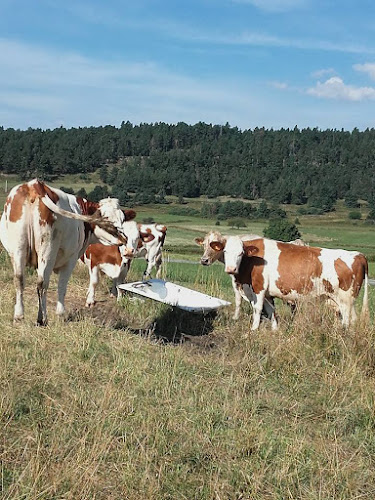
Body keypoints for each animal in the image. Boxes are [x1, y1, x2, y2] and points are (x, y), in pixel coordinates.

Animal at [0, 179, 135, 324]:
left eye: (122, 219)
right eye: (105, 218)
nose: (124, 239)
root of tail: (34, 184)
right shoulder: (71, 259)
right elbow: (62, 285)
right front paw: (60, 313)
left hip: (18, 249)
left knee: (19, 280)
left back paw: (19, 315)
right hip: (47, 250)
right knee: (42, 283)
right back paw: (42, 318)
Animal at [210, 235, 372, 330]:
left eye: (241, 253)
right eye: (225, 252)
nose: (231, 269)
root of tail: (358, 255)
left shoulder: (259, 288)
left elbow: (257, 309)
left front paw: (253, 330)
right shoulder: (267, 293)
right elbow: (271, 311)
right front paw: (275, 331)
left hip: (345, 300)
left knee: (347, 321)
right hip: (343, 301)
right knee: (352, 319)